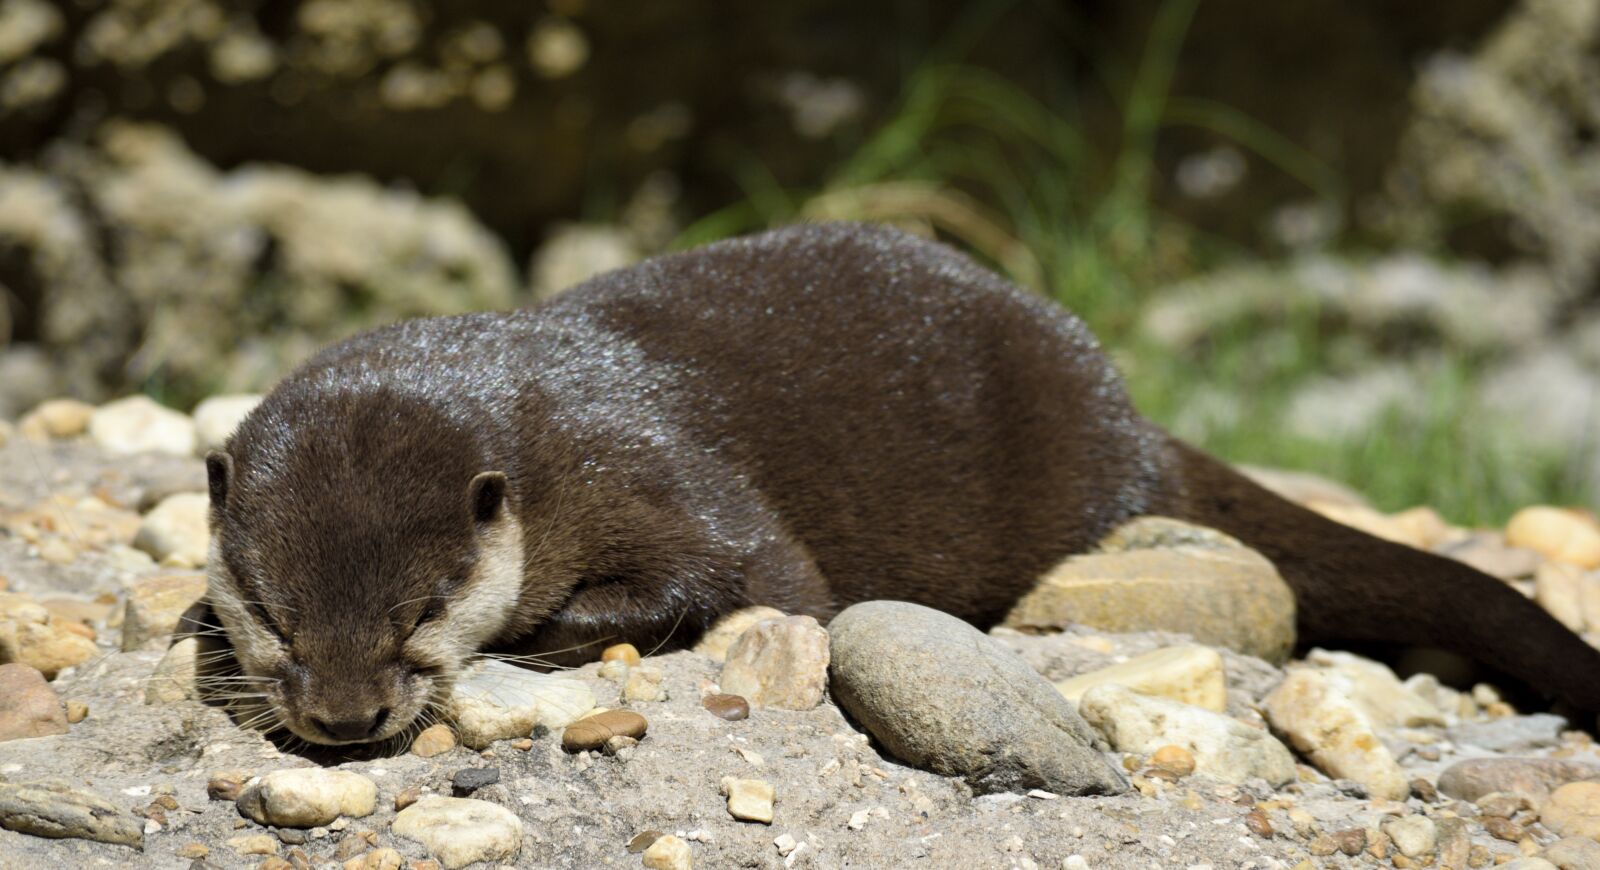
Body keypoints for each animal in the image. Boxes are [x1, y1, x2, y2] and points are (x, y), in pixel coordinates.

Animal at [203, 222, 1600, 746]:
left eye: (423, 614)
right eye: (276, 617)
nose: (345, 719)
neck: (540, 442)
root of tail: (1120, 407)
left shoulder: (652, 469)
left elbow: (763, 581)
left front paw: (550, 637)